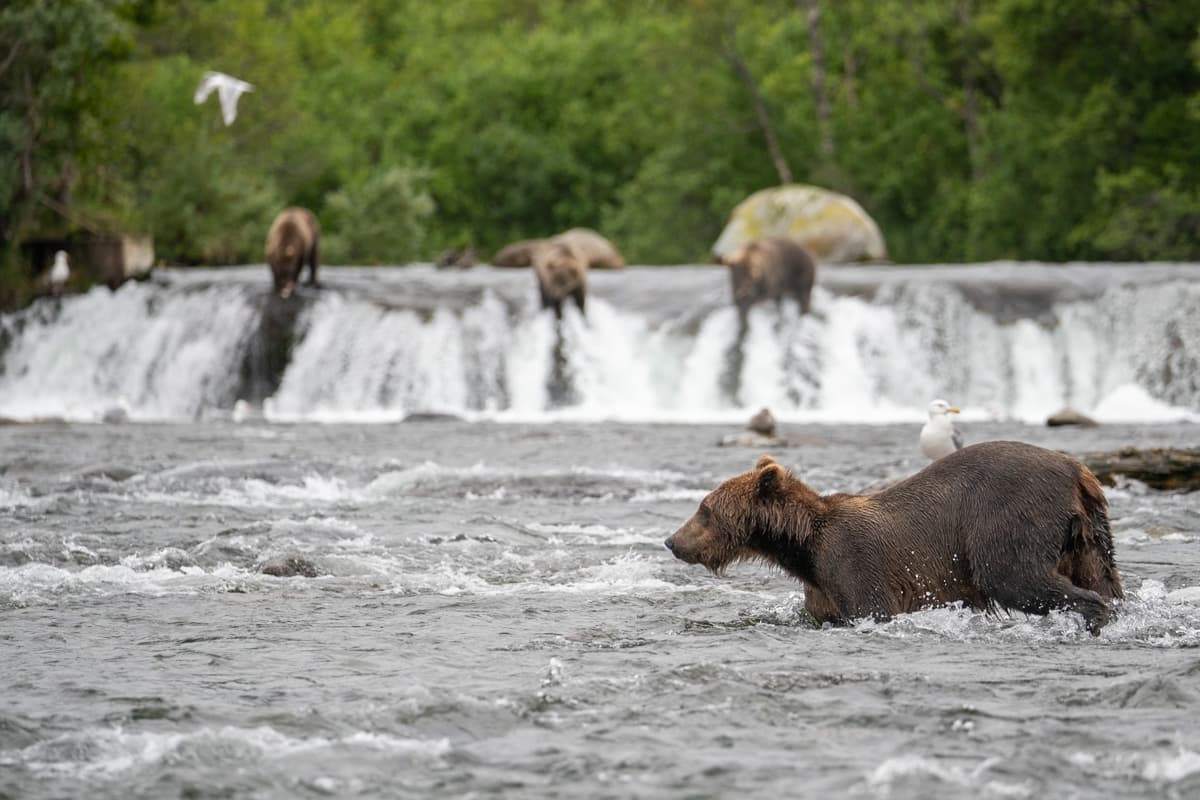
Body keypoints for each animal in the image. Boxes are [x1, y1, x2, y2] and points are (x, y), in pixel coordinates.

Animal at [664, 441, 1124, 634]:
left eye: (704, 509)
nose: (671, 541)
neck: (803, 550)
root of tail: (1078, 470)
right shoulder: (821, 587)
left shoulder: (852, 561)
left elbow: (872, 608)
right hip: (1087, 533)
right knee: (1102, 575)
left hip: (1011, 517)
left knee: (1014, 575)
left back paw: (1091, 617)